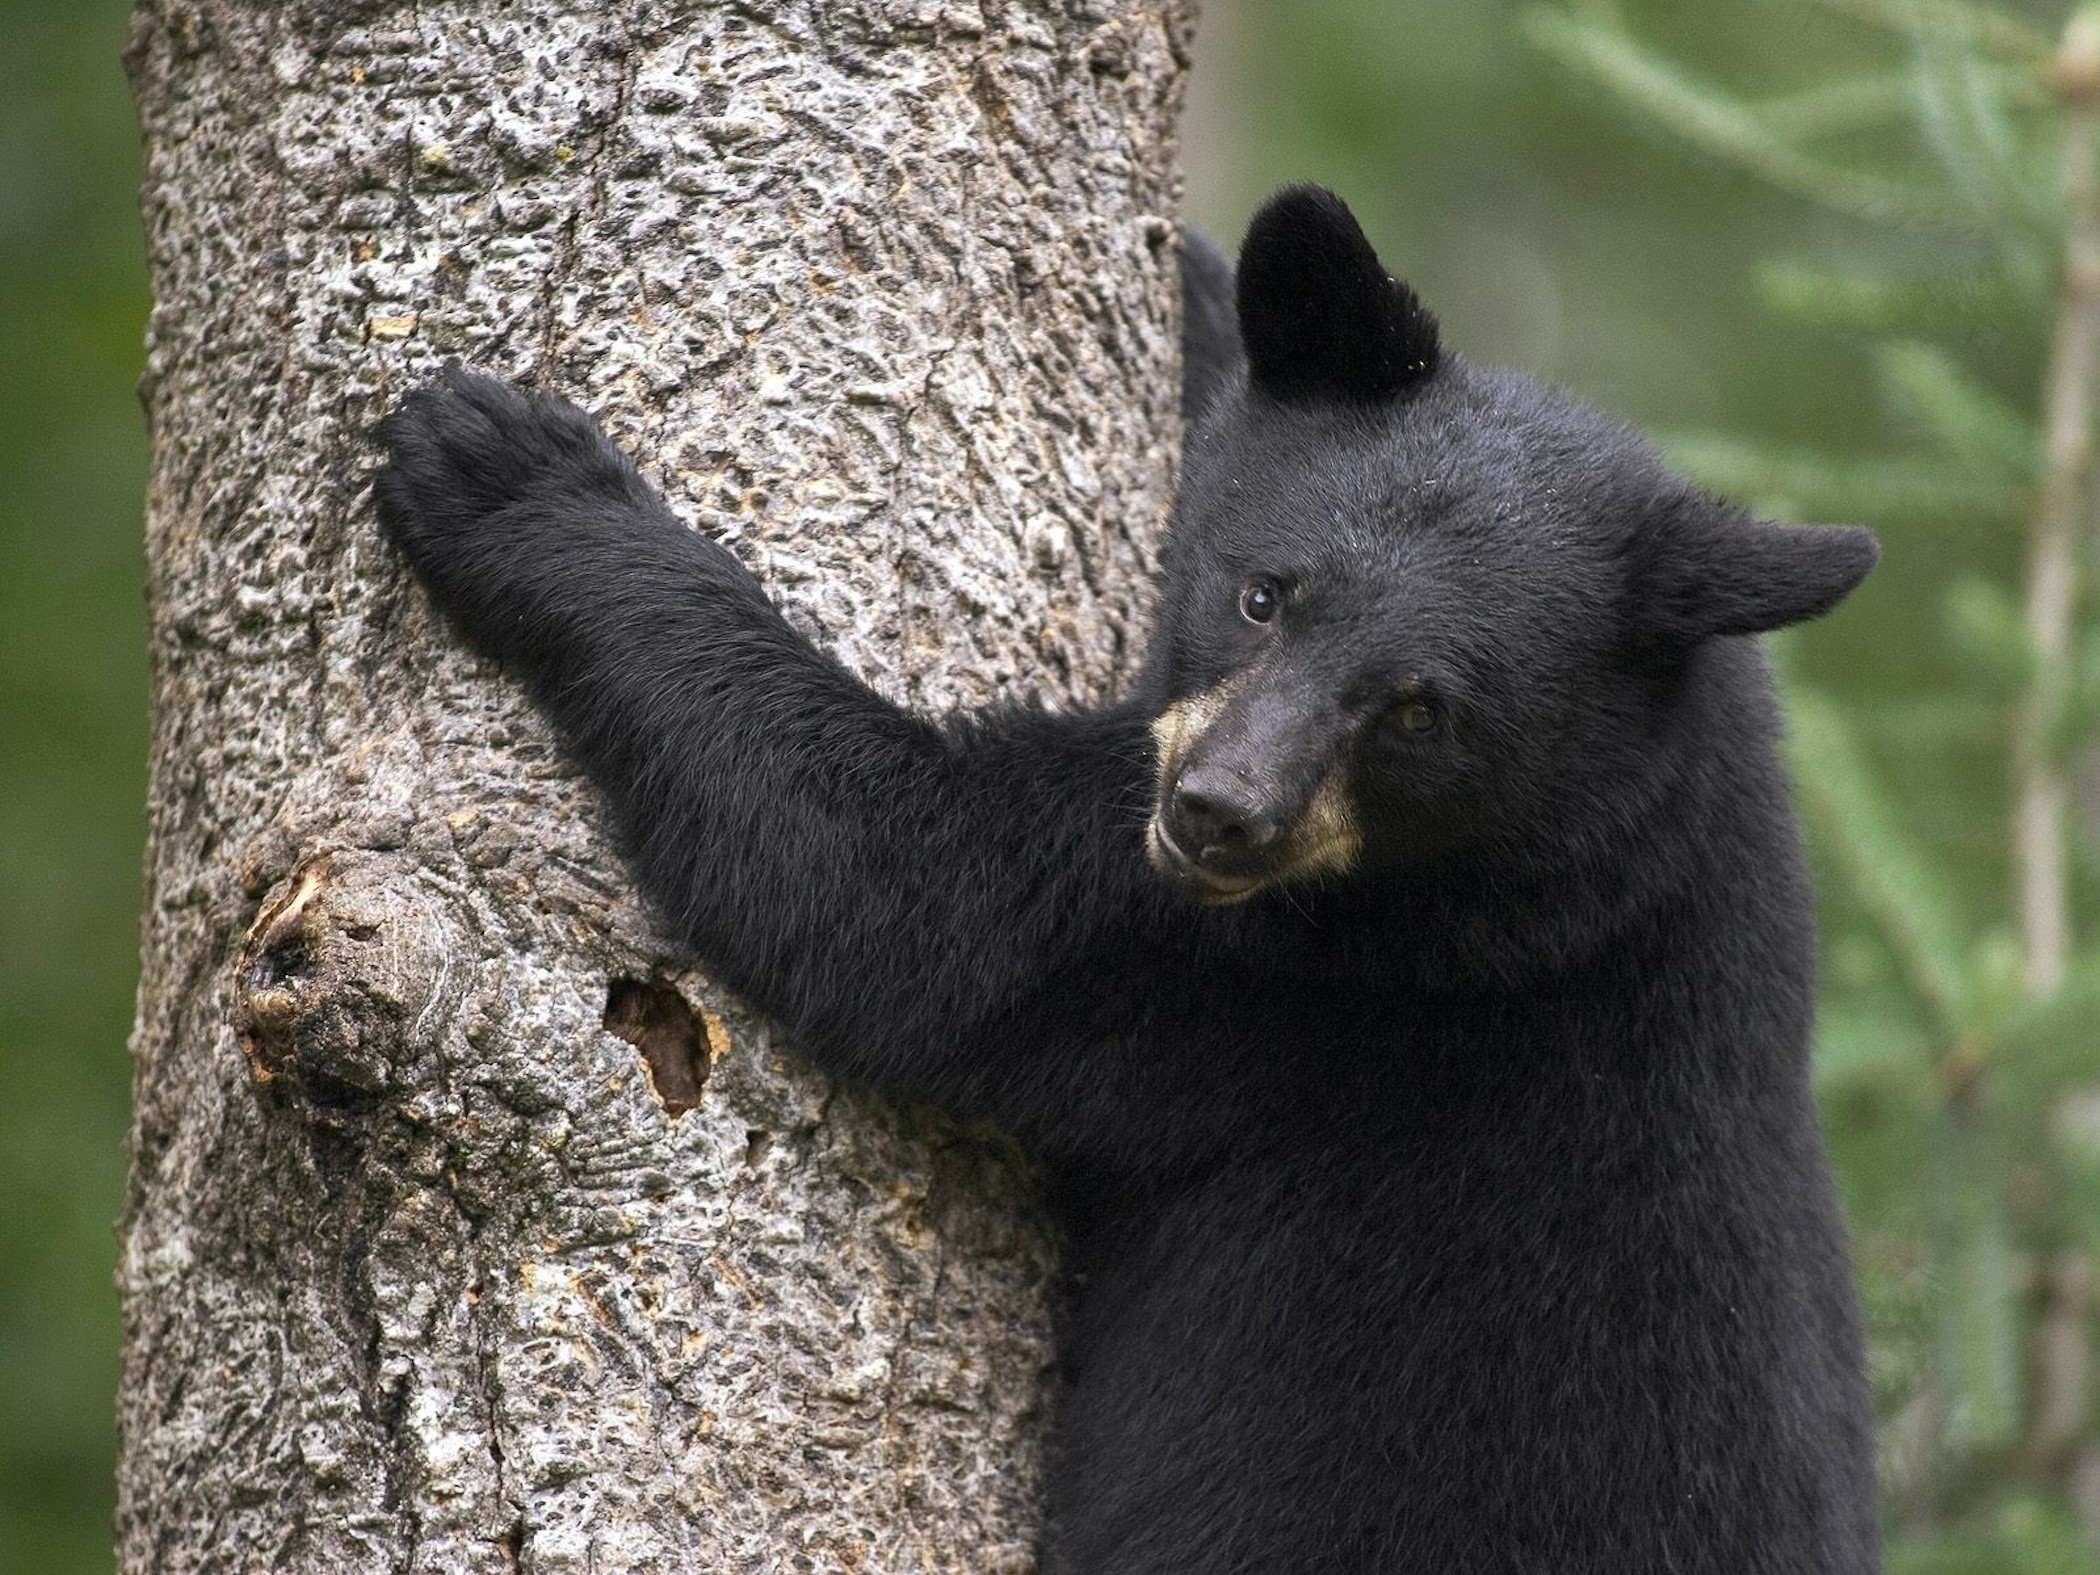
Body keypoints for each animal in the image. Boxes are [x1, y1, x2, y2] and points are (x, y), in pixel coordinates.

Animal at [369, 187, 1881, 1575]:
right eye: (1265, 592)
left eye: (1419, 711)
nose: (1220, 814)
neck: (1621, 824)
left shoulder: (1322, 973)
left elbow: (904, 899)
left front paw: (512, 477)